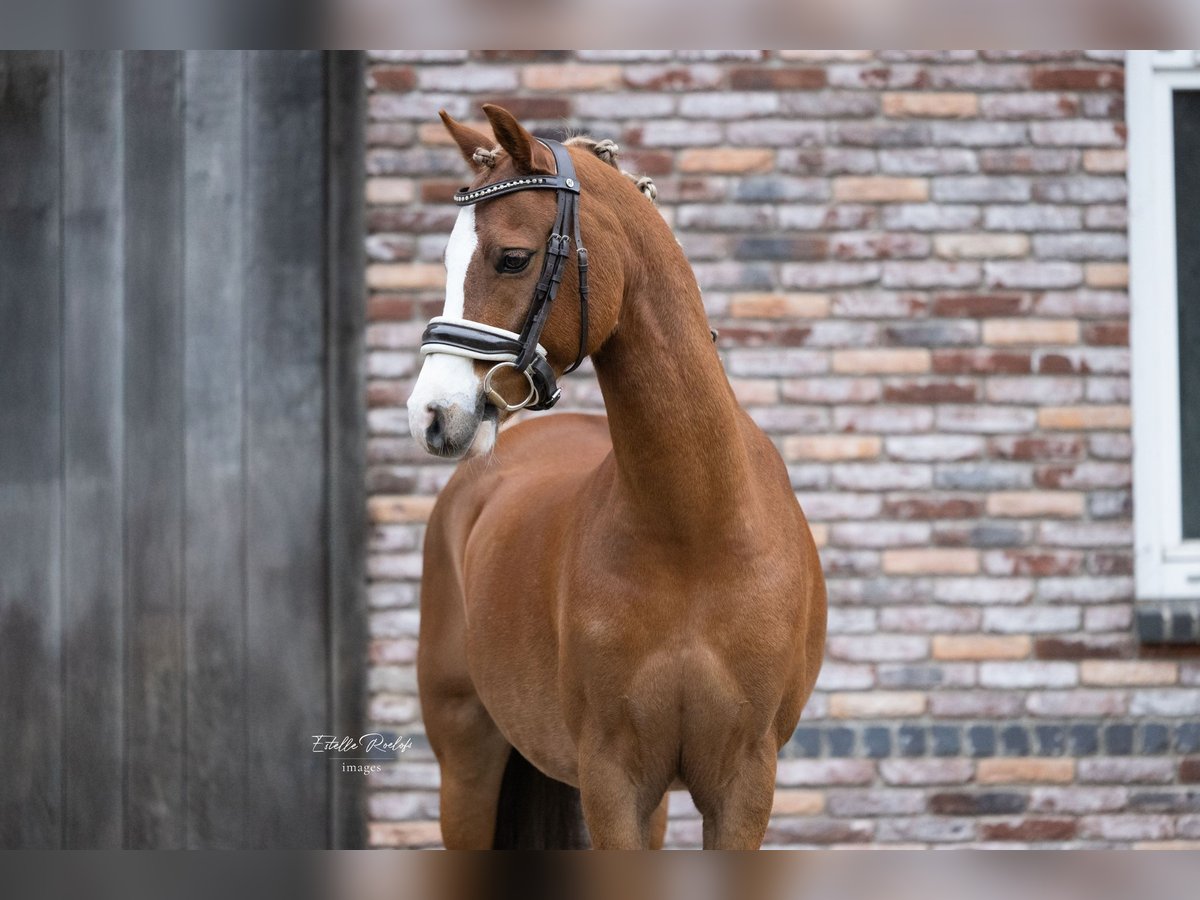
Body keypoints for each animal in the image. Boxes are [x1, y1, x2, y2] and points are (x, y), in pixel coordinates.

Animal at [405, 105, 825, 854]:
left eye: (512, 257)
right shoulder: (611, 776)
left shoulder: (743, 782)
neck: (694, 529)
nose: (432, 414)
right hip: (466, 758)